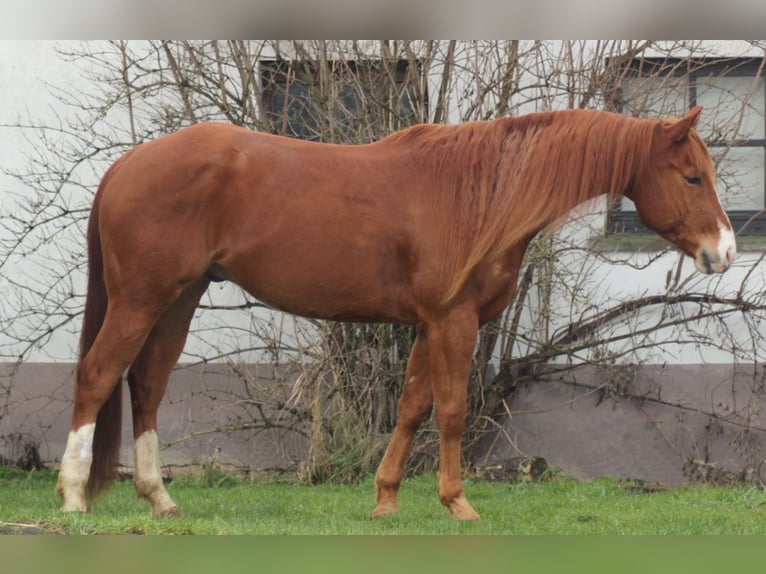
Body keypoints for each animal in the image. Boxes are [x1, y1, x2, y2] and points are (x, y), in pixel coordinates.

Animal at [55, 106, 735, 520]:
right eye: (691, 177)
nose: (724, 252)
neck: (482, 193)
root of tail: (128, 163)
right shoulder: (454, 321)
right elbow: (453, 410)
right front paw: (458, 503)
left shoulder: (428, 324)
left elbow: (412, 406)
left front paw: (385, 499)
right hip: (142, 297)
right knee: (97, 375)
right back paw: (73, 496)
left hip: (180, 298)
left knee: (146, 384)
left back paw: (159, 499)